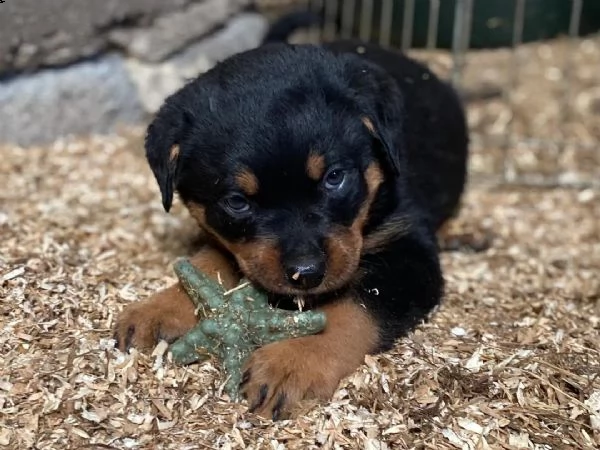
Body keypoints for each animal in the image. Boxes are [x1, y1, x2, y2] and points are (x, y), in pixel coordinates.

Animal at [112, 33, 468, 420]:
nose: (307, 273)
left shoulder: (409, 251)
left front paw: (293, 362)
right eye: (237, 201)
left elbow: (350, 309)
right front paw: (158, 309)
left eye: (335, 178)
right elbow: (207, 263)